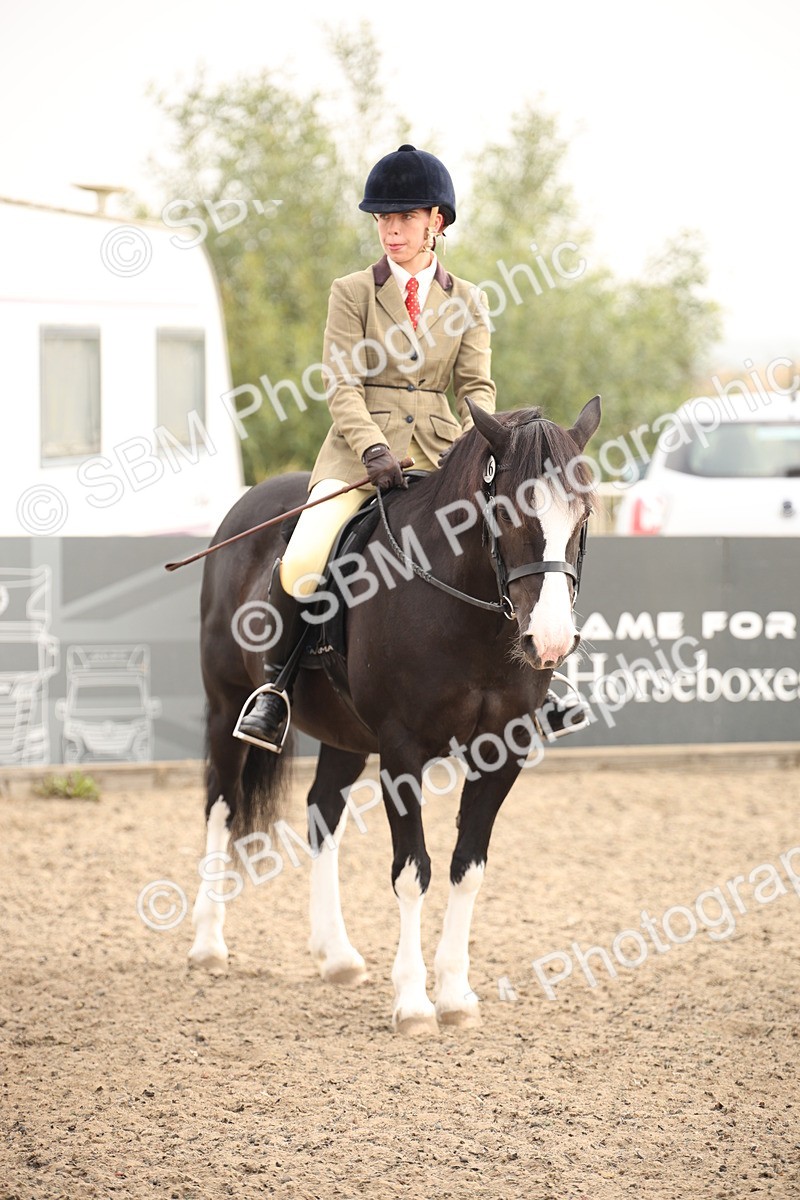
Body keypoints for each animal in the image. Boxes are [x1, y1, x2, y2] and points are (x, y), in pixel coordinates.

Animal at [188, 396, 601, 1035]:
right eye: (507, 517)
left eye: (581, 517)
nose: (551, 642)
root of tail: (248, 502)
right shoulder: (403, 750)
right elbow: (413, 870)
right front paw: (412, 1002)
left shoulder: (501, 749)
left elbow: (467, 866)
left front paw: (455, 994)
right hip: (226, 703)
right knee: (221, 805)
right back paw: (208, 945)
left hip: (346, 735)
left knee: (322, 814)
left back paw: (336, 956)